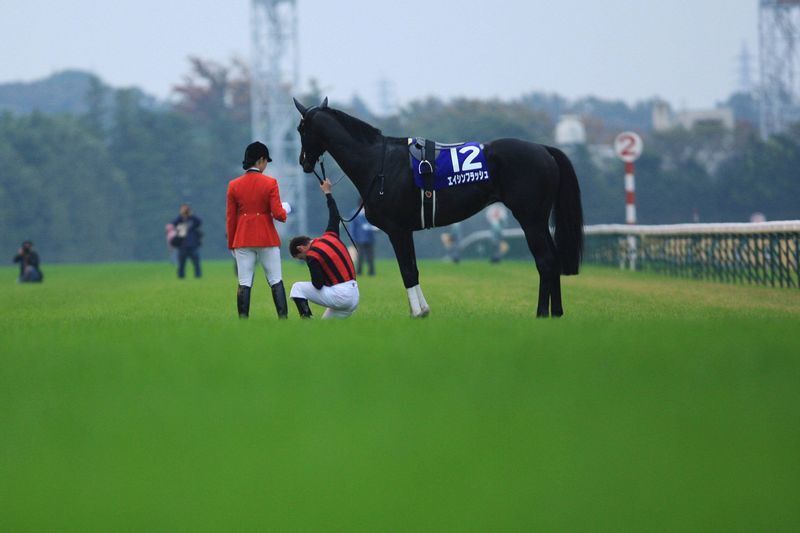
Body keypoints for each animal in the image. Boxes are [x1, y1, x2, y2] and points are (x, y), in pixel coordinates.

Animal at [292, 96, 580, 316]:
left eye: (301, 129)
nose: (303, 161)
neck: (379, 163)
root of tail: (543, 149)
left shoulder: (397, 230)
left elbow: (407, 271)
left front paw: (418, 312)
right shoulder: (406, 230)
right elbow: (414, 270)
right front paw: (422, 310)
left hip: (530, 220)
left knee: (545, 261)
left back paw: (542, 314)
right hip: (539, 221)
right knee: (553, 260)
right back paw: (557, 313)